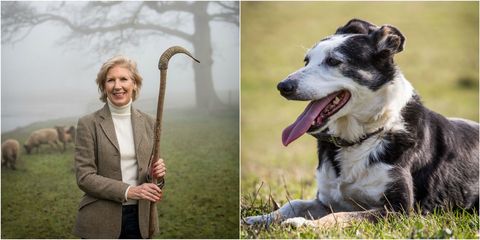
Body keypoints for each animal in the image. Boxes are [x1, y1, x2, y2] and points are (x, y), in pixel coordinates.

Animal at [246, 18, 478, 227]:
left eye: (333, 61)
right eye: (306, 60)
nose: (282, 86)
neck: (362, 137)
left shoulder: (399, 210)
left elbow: (339, 216)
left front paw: (305, 224)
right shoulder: (326, 200)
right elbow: (294, 203)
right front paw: (262, 218)